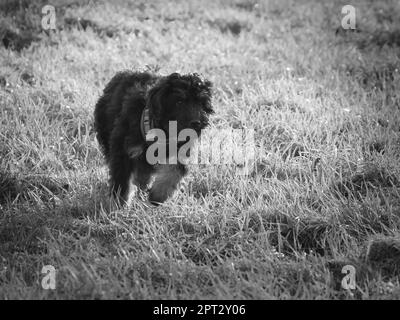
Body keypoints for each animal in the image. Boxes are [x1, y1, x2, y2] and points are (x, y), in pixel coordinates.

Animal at [94, 71, 212, 205]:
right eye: (179, 102)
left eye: (201, 103)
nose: (196, 123)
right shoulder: (124, 151)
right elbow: (122, 180)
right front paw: (119, 203)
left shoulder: (181, 150)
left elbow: (173, 173)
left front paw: (157, 196)